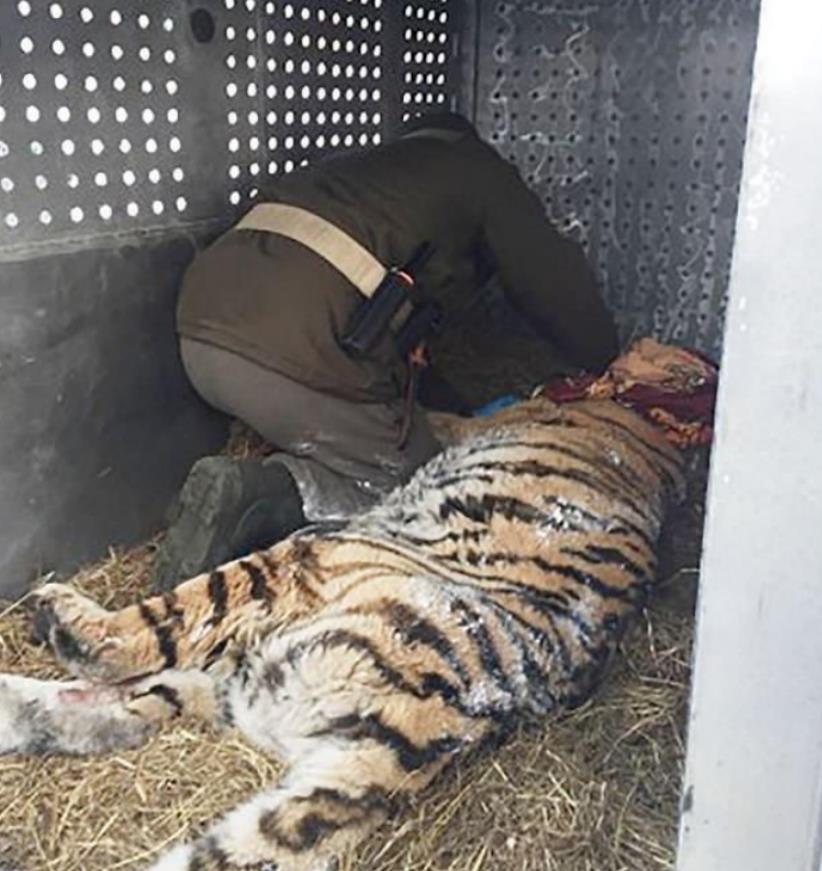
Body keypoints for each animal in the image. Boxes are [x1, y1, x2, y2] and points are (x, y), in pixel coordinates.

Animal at [0, 396, 684, 871]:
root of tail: (437, 726)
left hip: (301, 567)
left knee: (147, 636)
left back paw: (60, 616)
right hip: (242, 675)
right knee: (118, 708)